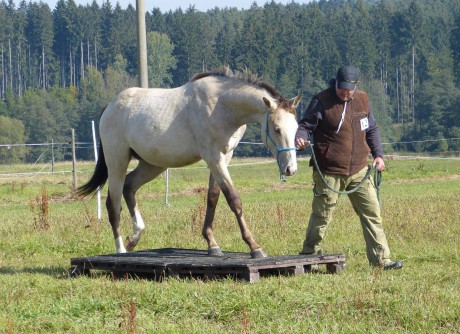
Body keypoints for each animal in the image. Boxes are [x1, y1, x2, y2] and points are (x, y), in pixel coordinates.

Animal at [77, 68, 302, 260]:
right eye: (276, 129)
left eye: (295, 127)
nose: (290, 169)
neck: (221, 105)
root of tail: (110, 107)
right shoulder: (213, 157)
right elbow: (233, 199)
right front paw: (254, 247)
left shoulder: (224, 157)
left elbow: (213, 197)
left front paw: (212, 244)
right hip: (117, 161)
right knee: (113, 203)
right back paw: (121, 250)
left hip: (152, 164)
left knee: (129, 187)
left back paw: (134, 237)